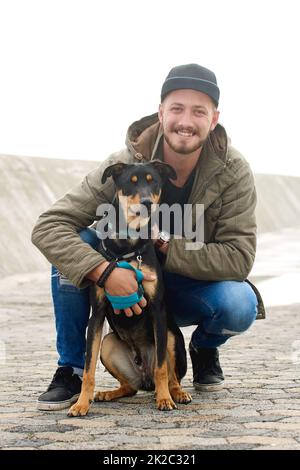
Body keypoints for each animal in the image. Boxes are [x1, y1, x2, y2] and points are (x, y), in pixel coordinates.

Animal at [67, 161, 192, 414]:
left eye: (153, 181)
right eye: (131, 182)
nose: (146, 203)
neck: (128, 243)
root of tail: (145, 376)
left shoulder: (157, 310)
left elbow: (162, 367)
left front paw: (164, 400)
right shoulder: (97, 314)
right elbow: (88, 367)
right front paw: (82, 403)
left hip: (171, 337)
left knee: (171, 376)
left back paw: (175, 393)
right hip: (108, 344)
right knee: (130, 387)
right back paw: (108, 393)